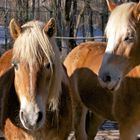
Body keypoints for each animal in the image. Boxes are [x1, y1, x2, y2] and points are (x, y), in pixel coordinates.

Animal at [64, 1, 140, 140]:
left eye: (129, 37)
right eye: (108, 36)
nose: (105, 78)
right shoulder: (128, 128)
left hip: (97, 114)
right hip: (77, 108)